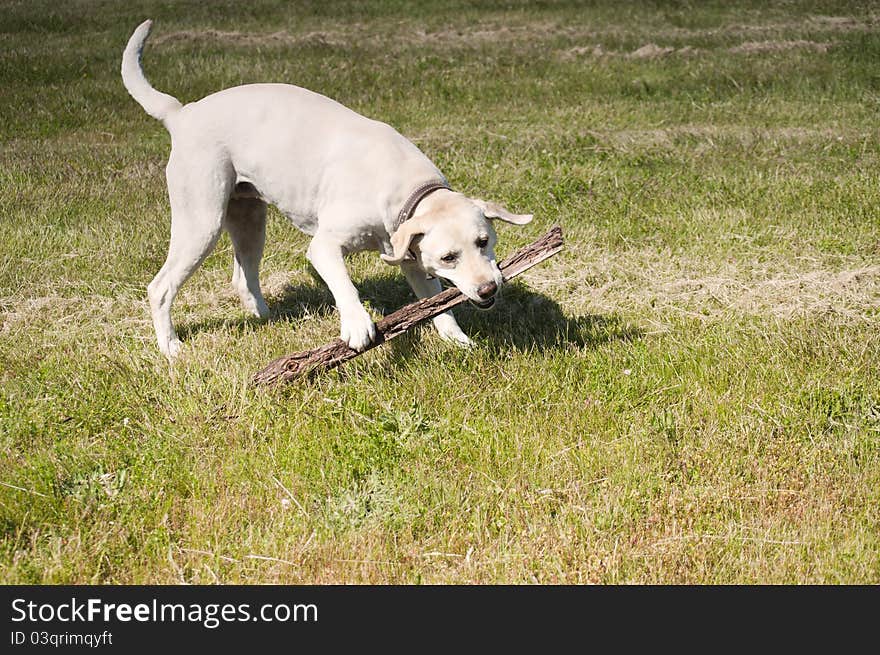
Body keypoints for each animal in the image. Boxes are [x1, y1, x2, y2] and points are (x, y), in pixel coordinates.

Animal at [120, 20, 532, 358]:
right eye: (449, 257)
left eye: (483, 242)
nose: (488, 290)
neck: (407, 188)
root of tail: (182, 113)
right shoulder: (324, 246)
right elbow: (344, 285)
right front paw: (357, 324)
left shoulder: (411, 259)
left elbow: (435, 303)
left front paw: (455, 337)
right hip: (201, 222)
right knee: (160, 287)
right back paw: (170, 347)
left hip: (249, 219)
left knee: (242, 275)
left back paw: (264, 317)